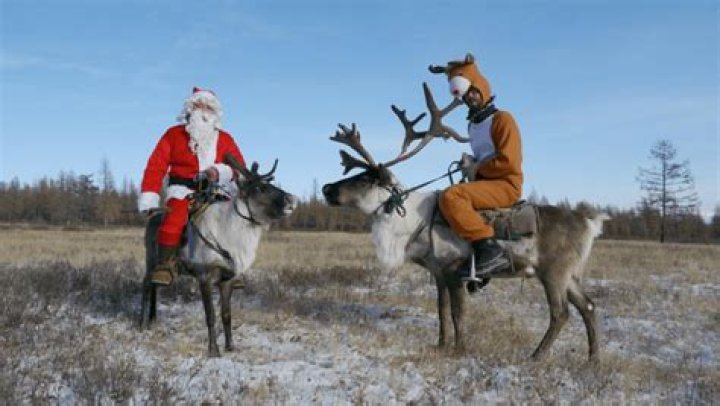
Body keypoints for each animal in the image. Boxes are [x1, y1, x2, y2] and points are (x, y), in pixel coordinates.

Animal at [140, 155, 298, 357]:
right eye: (260, 188)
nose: (292, 199)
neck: (229, 237)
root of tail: (153, 216)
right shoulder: (204, 277)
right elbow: (210, 316)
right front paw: (213, 350)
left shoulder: (226, 279)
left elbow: (226, 315)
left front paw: (230, 346)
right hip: (151, 259)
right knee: (146, 285)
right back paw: (142, 323)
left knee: (155, 286)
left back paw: (153, 318)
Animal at [322, 83, 609, 361]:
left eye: (364, 179)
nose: (326, 188)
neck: (412, 221)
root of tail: (589, 223)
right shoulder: (438, 273)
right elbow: (441, 310)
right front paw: (440, 345)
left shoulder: (455, 270)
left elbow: (458, 313)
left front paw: (459, 350)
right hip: (568, 274)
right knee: (588, 305)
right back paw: (593, 359)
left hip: (553, 272)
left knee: (561, 313)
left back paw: (536, 356)